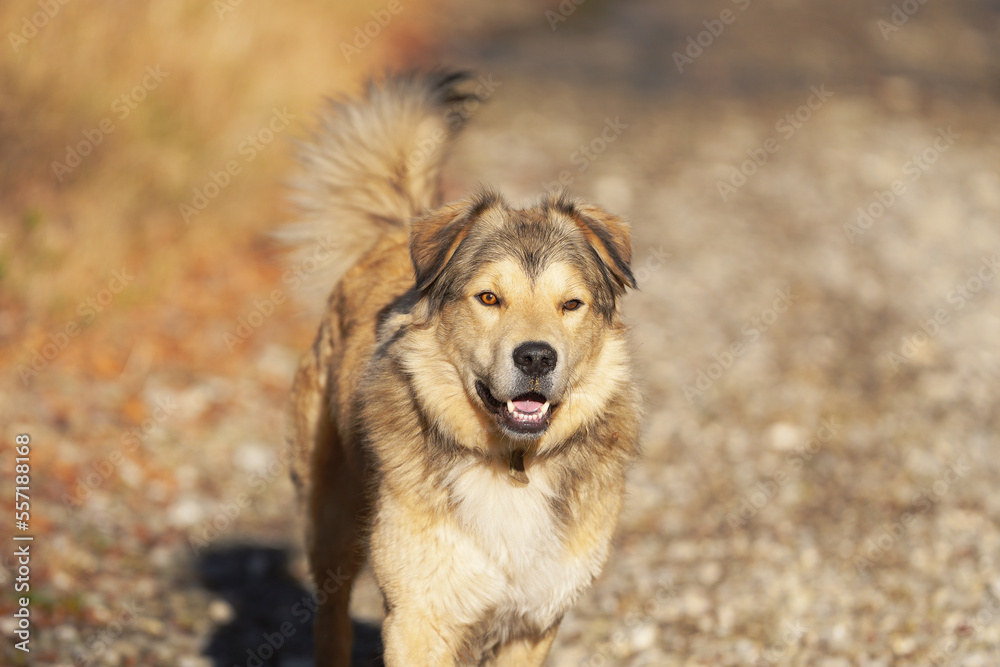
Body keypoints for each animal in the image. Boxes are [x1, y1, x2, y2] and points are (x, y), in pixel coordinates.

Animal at [284, 70, 640, 664]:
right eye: (489, 298)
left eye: (571, 304)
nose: (536, 356)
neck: (512, 465)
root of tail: (394, 231)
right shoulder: (418, 615)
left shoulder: (534, 619)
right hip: (329, 518)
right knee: (330, 615)